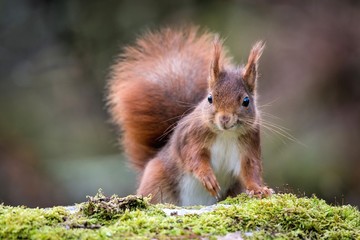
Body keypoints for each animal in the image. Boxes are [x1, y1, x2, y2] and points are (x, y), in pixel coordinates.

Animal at [107, 26, 272, 206]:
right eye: (210, 98)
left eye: (246, 101)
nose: (225, 119)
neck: (226, 134)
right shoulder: (191, 137)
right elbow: (193, 157)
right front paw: (207, 177)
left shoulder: (249, 146)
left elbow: (250, 170)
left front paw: (259, 190)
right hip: (156, 180)